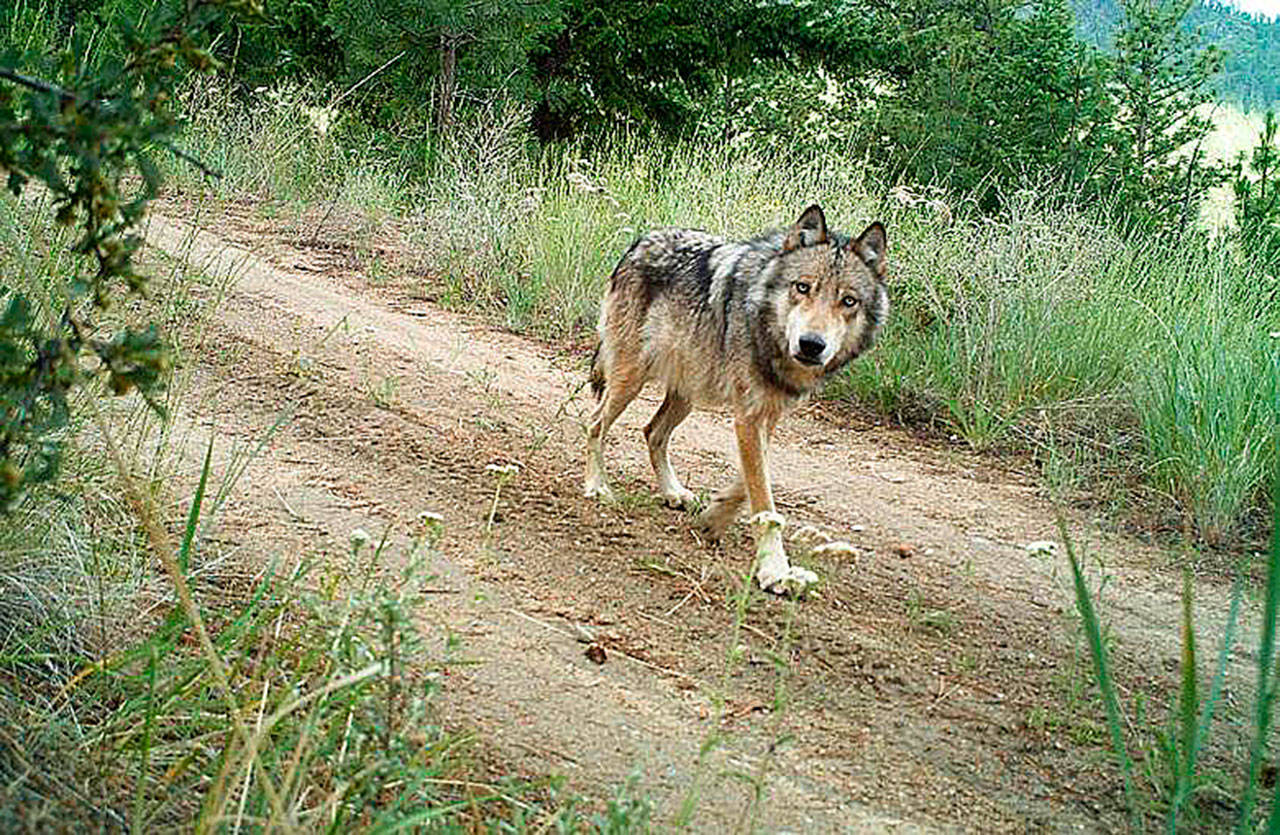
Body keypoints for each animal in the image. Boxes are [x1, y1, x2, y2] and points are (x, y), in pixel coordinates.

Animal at [583, 202, 890, 594]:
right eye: (802, 287)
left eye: (848, 301)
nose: (811, 344)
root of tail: (640, 241)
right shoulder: (748, 416)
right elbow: (763, 497)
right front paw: (775, 570)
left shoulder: (768, 415)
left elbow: (750, 482)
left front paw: (714, 518)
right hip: (630, 379)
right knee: (596, 423)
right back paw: (597, 486)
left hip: (688, 390)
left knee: (652, 432)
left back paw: (673, 492)